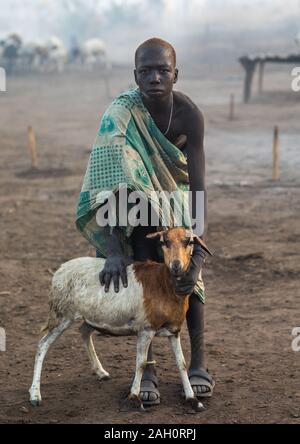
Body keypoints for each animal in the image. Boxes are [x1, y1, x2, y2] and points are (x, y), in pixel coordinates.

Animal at [28, 227, 211, 412]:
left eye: (189, 242)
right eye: (163, 242)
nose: (176, 265)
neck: (164, 285)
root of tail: (59, 270)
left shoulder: (174, 330)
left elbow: (181, 363)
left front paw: (193, 399)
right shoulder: (146, 329)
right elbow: (141, 363)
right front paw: (134, 398)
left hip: (91, 315)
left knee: (84, 331)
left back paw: (101, 372)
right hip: (62, 314)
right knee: (42, 344)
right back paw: (35, 395)